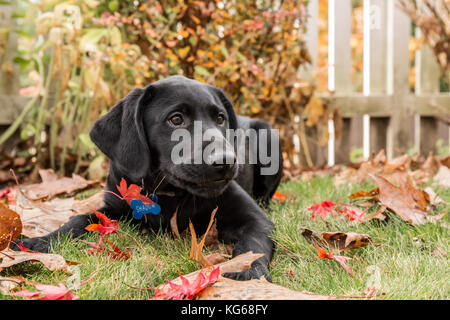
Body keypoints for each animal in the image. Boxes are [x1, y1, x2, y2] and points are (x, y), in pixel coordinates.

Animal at [14, 76, 282, 282]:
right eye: (176, 119)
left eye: (220, 118)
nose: (226, 160)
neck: (170, 194)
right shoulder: (114, 208)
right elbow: (79, 219)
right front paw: (38, 242)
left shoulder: (255, 219)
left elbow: (252, 246)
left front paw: (248, 272)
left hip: (270, 138)